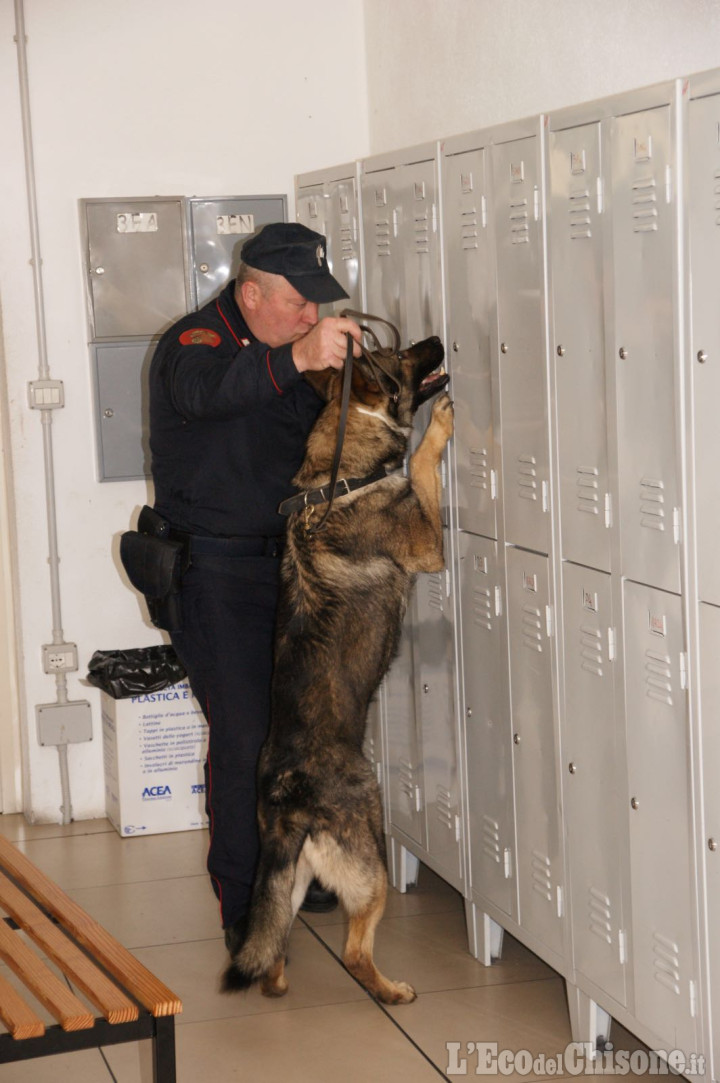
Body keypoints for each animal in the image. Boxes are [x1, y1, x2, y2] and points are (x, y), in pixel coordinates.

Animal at [221, 331, 452, 1005]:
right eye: (401, 355)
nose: (437, 339)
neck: (337, 475)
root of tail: (286, 799)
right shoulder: (428, 545)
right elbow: (420, 467)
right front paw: (437, 430)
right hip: (372, 861)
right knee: (353, 953)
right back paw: (391, 991)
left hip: (290, 883)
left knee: (272, 947)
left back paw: (278, 984)